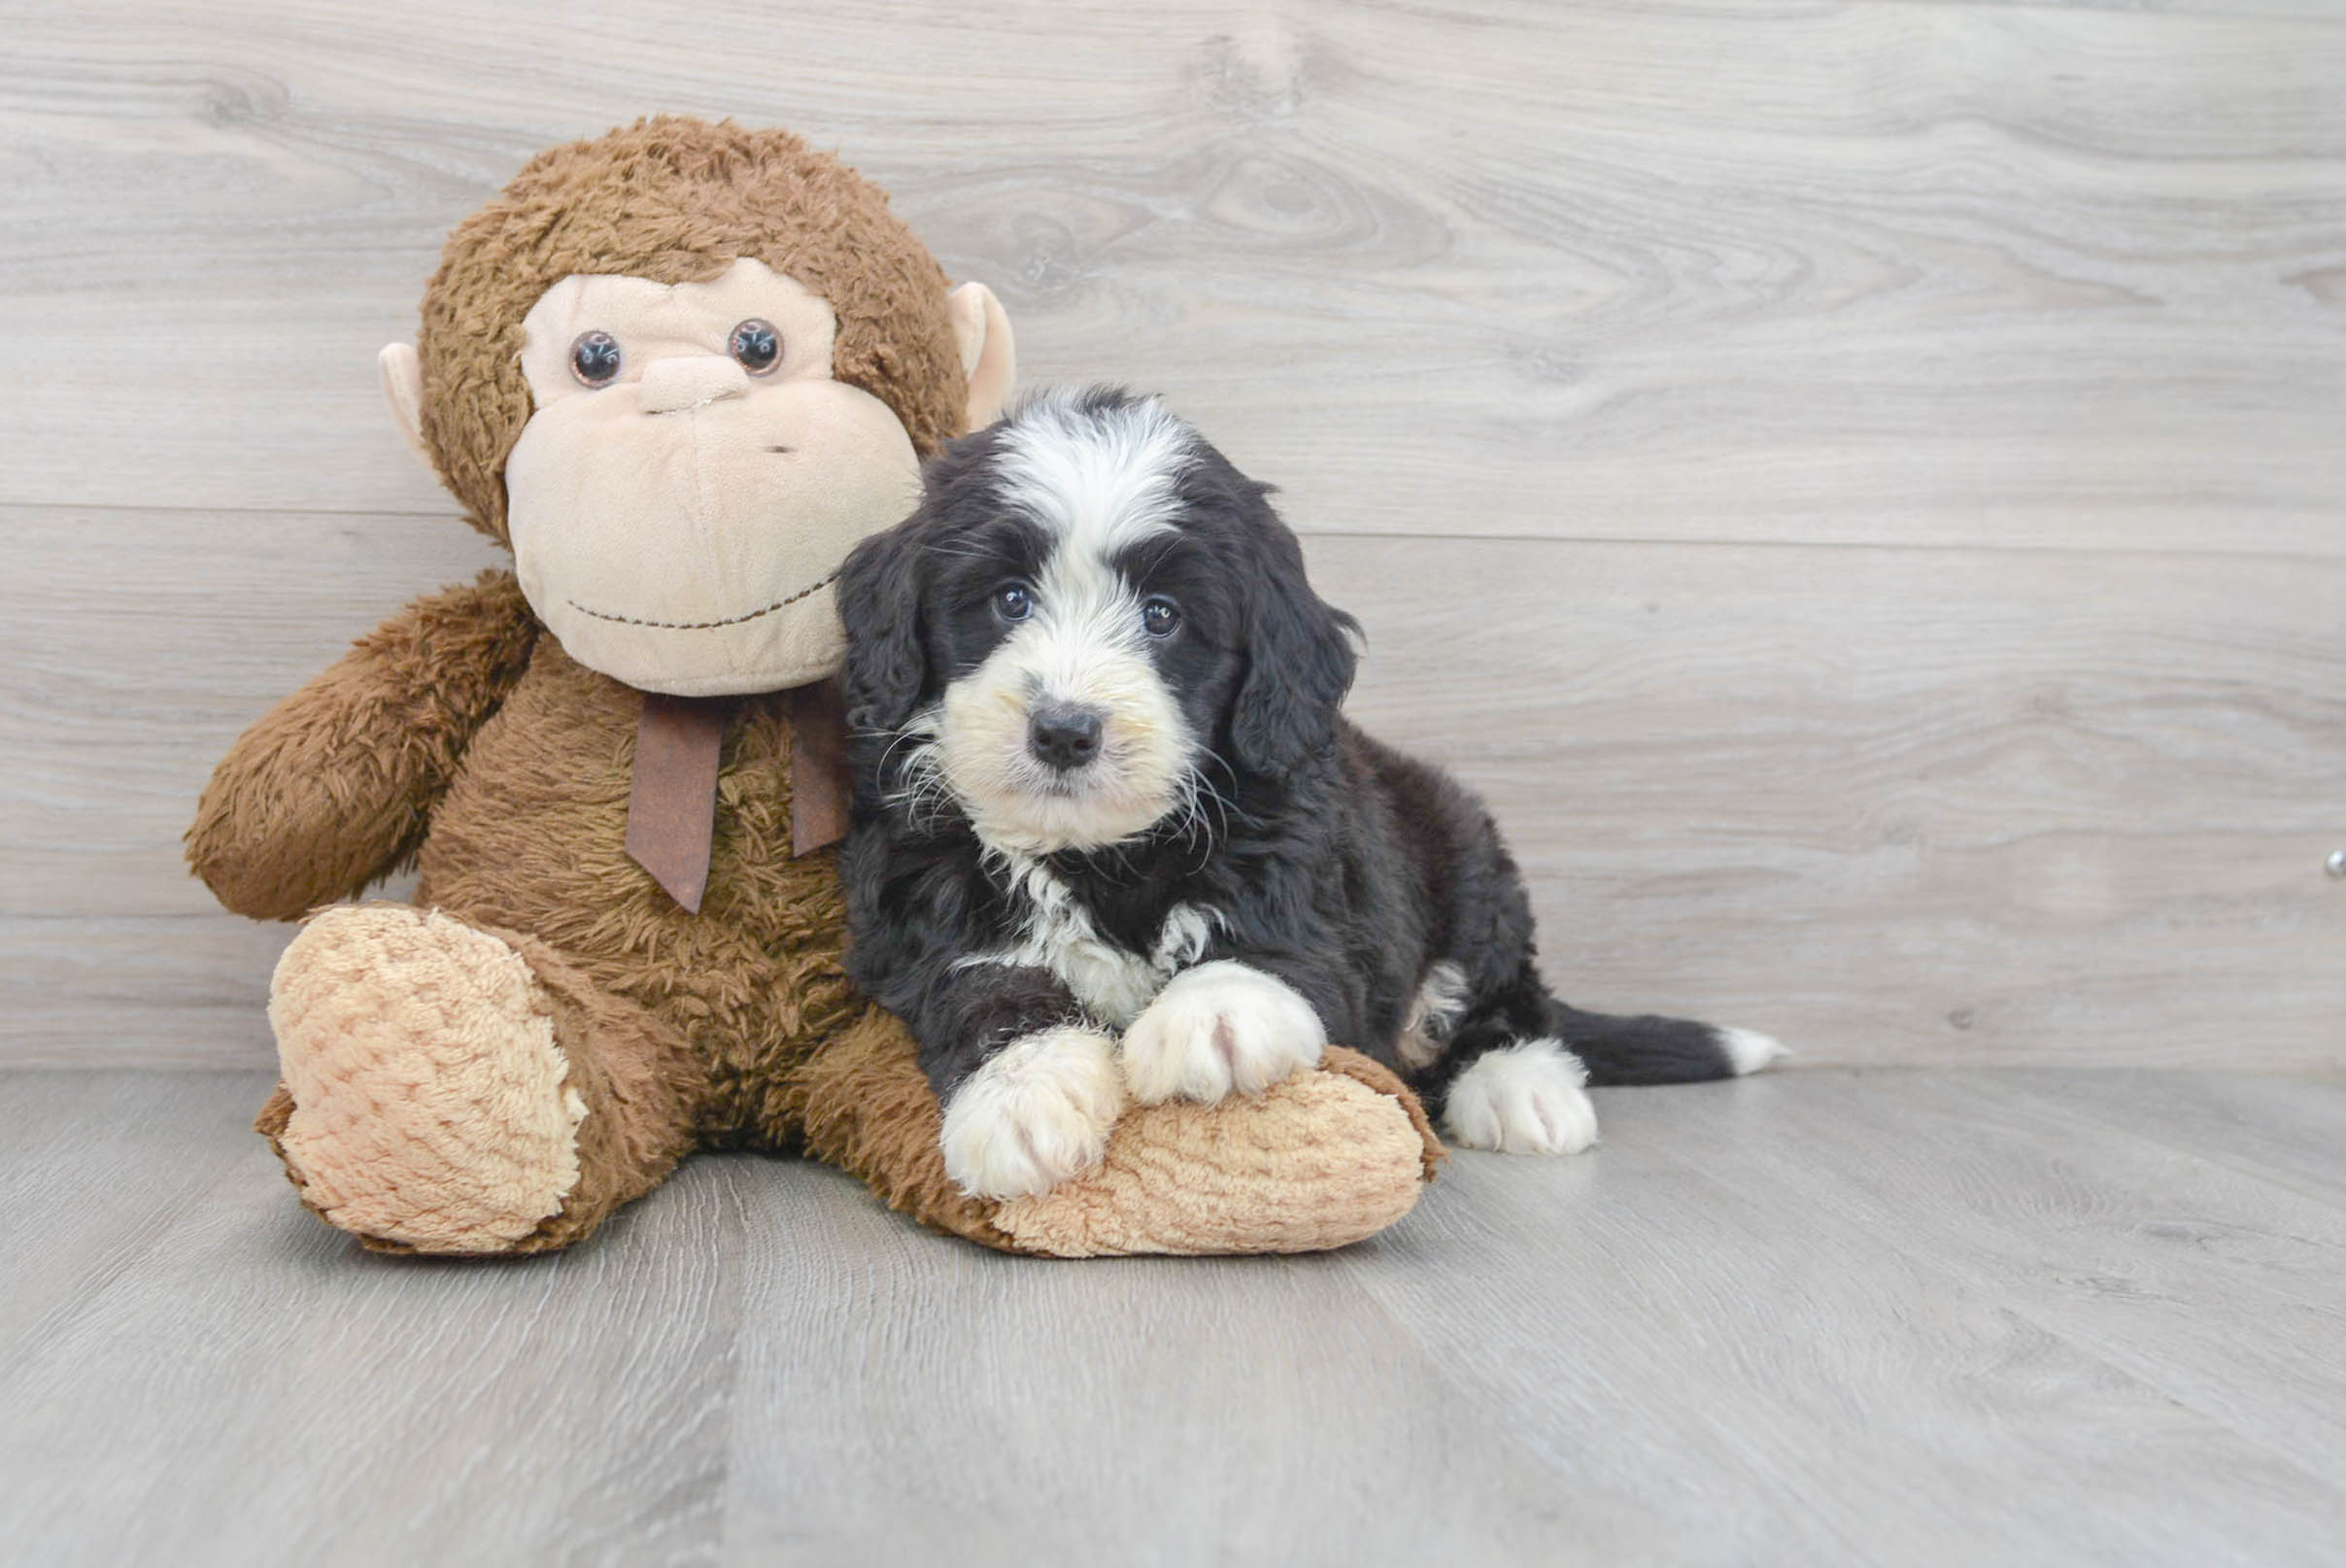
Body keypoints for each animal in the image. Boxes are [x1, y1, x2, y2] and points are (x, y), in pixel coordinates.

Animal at [834, 385, 1764, 1192]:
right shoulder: (925, 907)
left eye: (1163, 616)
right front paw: (1022, 1096)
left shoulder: (1310, 878)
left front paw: (1211, 1018)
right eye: (1008, 600)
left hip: (1468, 860)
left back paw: (1521, 1085)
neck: (1101, 857)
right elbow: (983, 989)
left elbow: (1268, 948)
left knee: (1511, 999)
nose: (1064, 730)